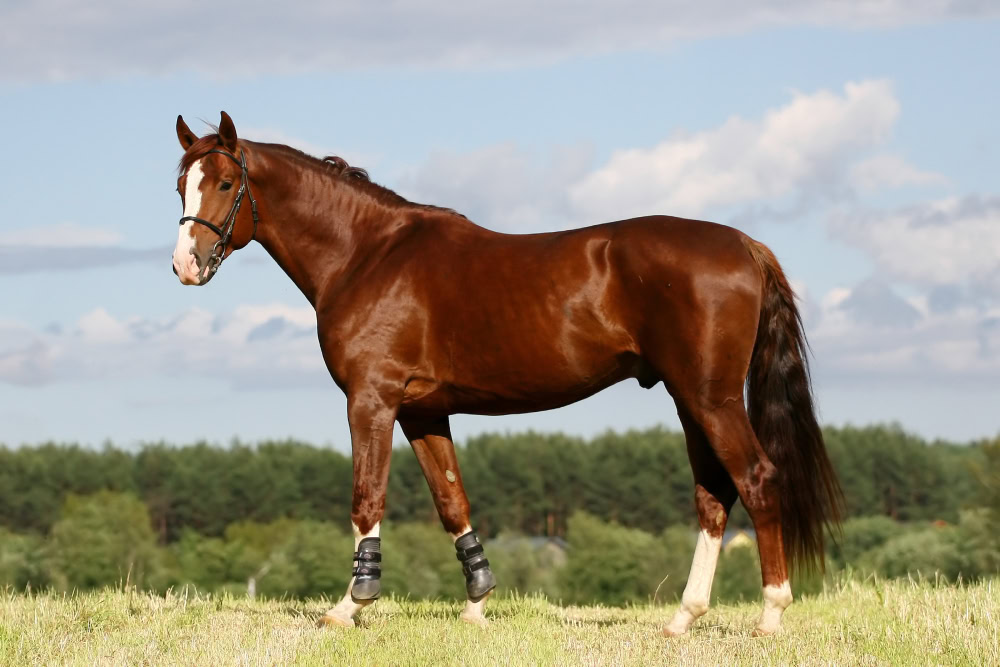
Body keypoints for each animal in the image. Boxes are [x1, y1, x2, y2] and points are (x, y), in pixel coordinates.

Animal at [171, 111, 843, 635]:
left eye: (226, 182)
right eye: (180, 184)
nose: (186, 265)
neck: (368, 255)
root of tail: (745, 245)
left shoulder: (372, 400)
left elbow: (367, 497)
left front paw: (348, 606)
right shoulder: (423, 411)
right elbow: (452, 501)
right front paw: (477, 604)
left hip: (712, 399)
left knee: (756, 480)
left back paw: (770, 615)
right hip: (690, 400)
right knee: (714, 496)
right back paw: (683, 617)